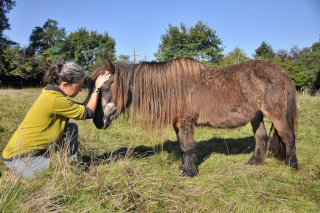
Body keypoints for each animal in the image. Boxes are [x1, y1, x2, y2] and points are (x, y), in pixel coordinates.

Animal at [84, 56, 298, 176]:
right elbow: (182, 147)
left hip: (276, 114)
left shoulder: (186, 122)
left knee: (288, 137)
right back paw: (254, 162)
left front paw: (189, 173)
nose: (96, 120)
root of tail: (281, 71)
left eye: (105, 87)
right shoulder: (178, 124)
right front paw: (184, 168)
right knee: (261, 137)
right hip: (256, 116)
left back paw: (292, 166)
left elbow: (187, 147)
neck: (173, 87)